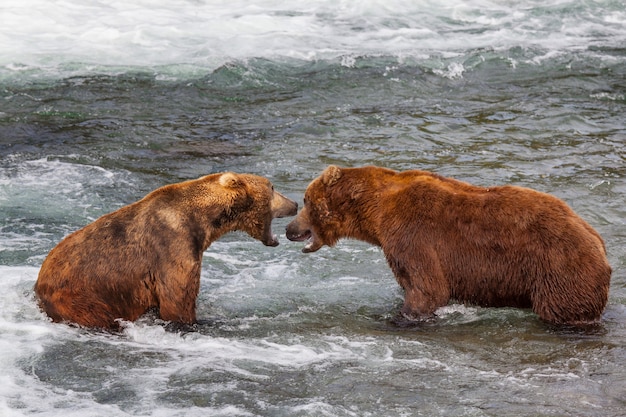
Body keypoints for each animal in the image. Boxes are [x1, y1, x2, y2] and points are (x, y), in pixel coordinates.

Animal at [34, 172, 298, 328]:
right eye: (272, 187)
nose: (295, 203)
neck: (203, 221)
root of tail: (39, 281)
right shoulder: (172, 247)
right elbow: (178, 300)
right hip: (82, 295)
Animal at [288, 165, 608, 324]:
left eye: (306, 199)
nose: (290, 228)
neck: (375, 212)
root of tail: (598, 241)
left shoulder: (413, 236)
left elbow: (428, 288)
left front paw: (399, 317)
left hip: (558, 268)